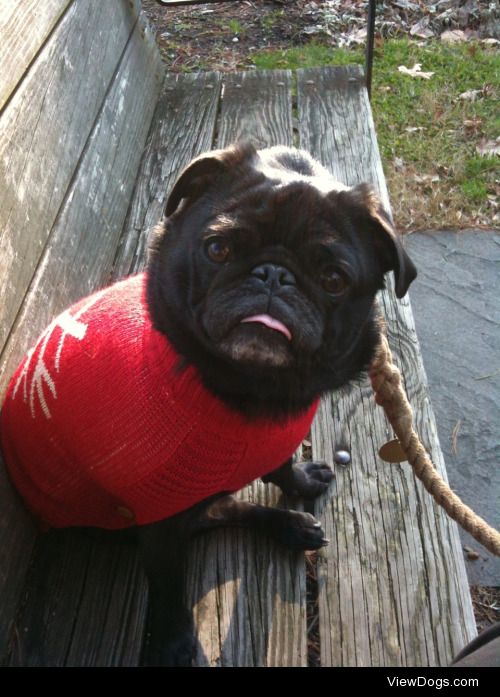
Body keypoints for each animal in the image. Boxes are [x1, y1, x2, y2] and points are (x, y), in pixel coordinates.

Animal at [0, 141, 414, 664]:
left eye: (333, 279)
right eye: (218, 249)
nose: (274, 274)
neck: (252, 392)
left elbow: (279, 467)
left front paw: (299, 479)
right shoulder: (160, 523)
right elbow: (169, 590)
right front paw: (176, 641)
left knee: (226, 510)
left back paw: (289, 525)